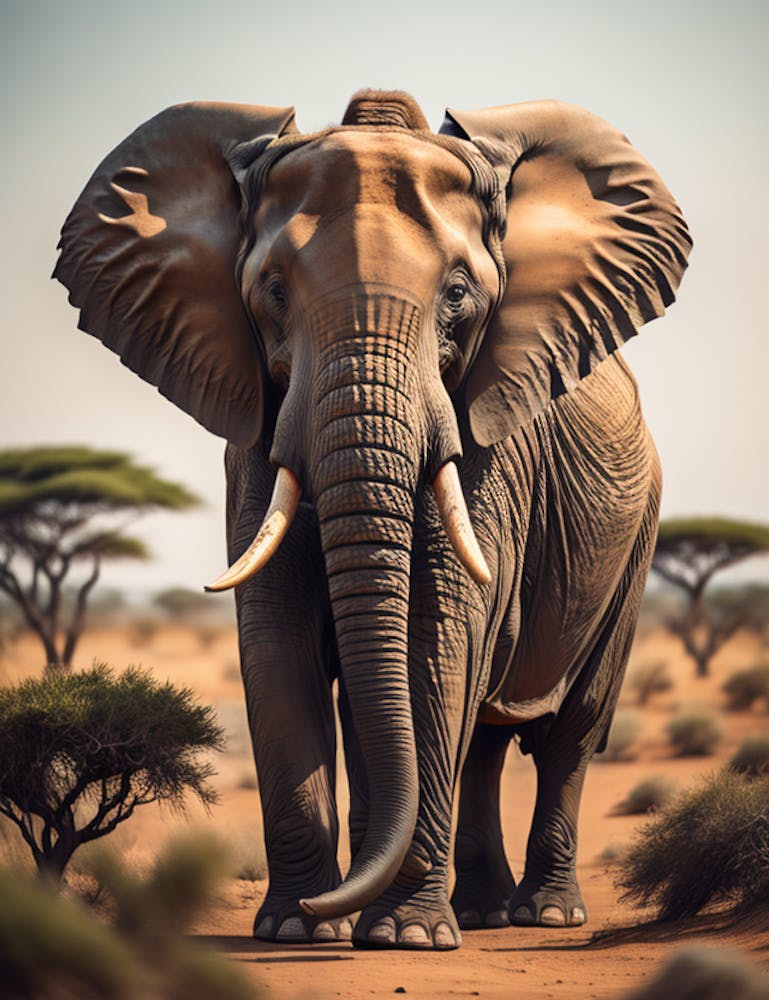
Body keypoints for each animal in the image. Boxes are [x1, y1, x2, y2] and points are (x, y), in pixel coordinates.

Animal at [55, 90, 691, 950]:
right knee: (480, 736)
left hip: (638, 531)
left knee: (571, 729)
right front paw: (296, 929)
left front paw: (401, 938)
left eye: (458, 292)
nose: (337, 908)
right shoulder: (253, 430)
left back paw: (542, 914)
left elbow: (435, 637)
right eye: (272, 290)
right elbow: (275, 640)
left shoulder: (485, 431)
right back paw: (475, 912)